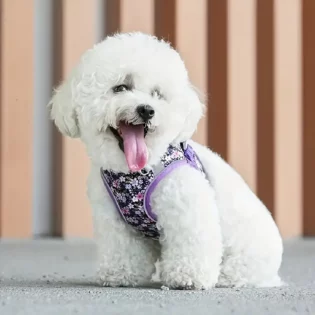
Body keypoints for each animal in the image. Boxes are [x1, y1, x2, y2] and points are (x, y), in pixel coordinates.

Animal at [50, 32, 284, 292]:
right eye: (120, 87)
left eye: (157, 94)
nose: (146, 110)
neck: (134, 173)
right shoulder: (115, 221)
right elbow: (122, 250)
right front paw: (119, 274)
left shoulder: (186, 207)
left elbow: (191, 242)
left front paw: (188, 277)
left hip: (244, 259)